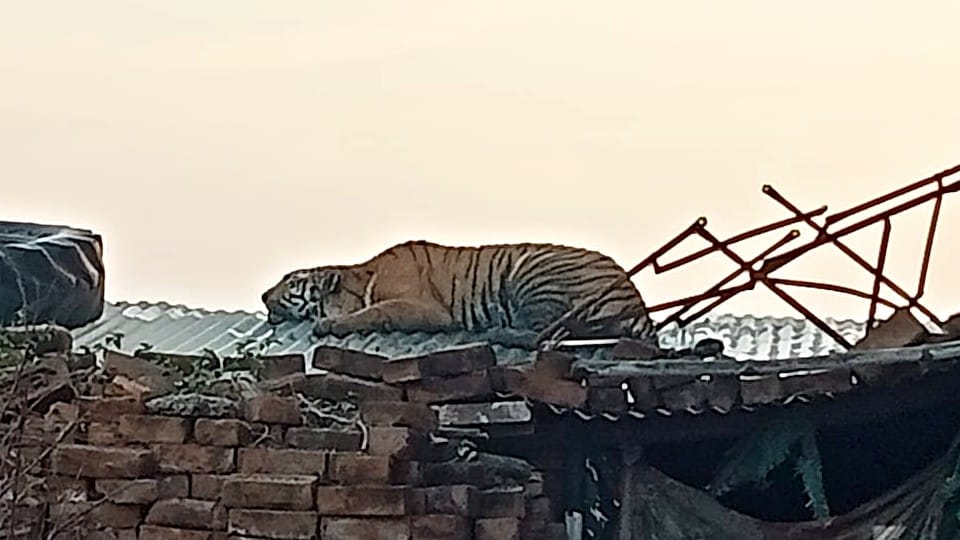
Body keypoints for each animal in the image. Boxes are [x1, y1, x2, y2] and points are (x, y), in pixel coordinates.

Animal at [261, 240, 659, 346]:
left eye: (290, 280)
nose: (264, 295)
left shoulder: (423, 308)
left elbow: (375, 311)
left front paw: (329, 325)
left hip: (533, 271)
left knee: (543, 334)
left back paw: (496, 331)